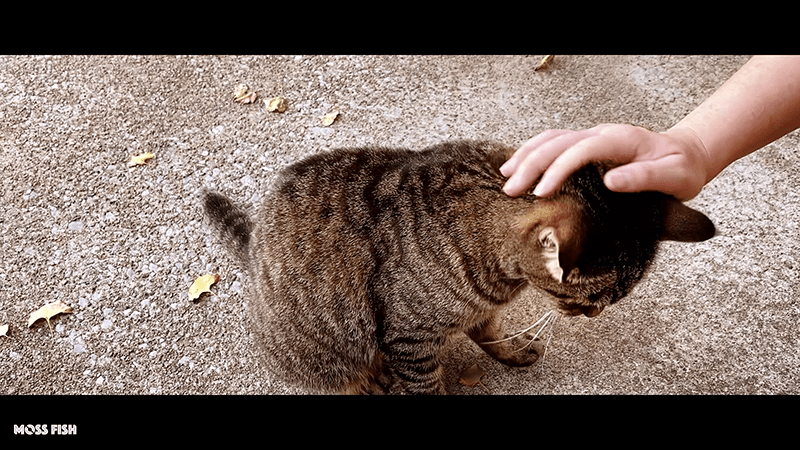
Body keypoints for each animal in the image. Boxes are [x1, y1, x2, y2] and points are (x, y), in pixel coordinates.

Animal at [203, 140, 716, 394]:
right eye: (588, 299)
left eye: (610, 301)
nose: (593, 315)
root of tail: (253, 243)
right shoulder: (409, 338)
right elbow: (427, 386)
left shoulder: (479, 309)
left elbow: (488, 333)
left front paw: (512, 352)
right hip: (321, 354)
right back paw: (370, 382)